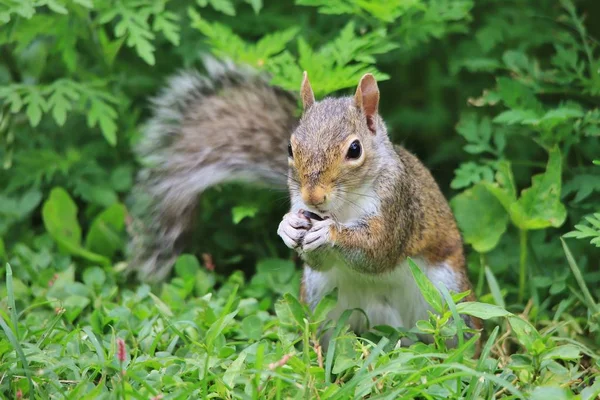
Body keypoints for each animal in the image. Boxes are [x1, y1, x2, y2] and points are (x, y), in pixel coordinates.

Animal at [127, 57, 482, 348]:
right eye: (289, 147)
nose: (313, 197)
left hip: (451, 299)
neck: (342, 207)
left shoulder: (398, 203)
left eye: (355, 149)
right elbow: (316, 257)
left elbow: (378, 250)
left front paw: (331, 233)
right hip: (320, 300)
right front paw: (286, 226)